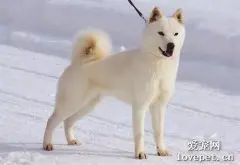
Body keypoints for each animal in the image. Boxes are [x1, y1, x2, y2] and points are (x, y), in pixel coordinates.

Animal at [43, 7, 186, 159]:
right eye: (161, 33)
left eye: (175, 34)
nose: (171, 45)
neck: (158, 64)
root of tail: (79, 62)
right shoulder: (140, 106)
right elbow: (139, 134)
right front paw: (140, 153)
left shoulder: (159, 106)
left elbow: (159, 132)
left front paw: (161, 151)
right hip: (72, 102)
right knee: (52, 120)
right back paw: (47, 144)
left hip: (88, 105)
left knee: (68, 121)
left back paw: (71, 140)